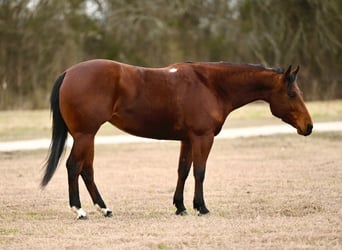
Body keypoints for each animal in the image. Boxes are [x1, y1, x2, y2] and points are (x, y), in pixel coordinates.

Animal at [41, 60, 314, 219]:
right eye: (291, 94)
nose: (309, 127)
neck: (210, 85)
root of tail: (69, 72)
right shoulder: (203, 138)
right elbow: (200, 172)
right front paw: (201, 207)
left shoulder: (187, 140)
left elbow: (183, 170)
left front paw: (180, 207)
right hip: (85, 135)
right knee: (73, 167)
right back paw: (79, 210)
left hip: (88, 136)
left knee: (86, 170)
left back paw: (104, 208)